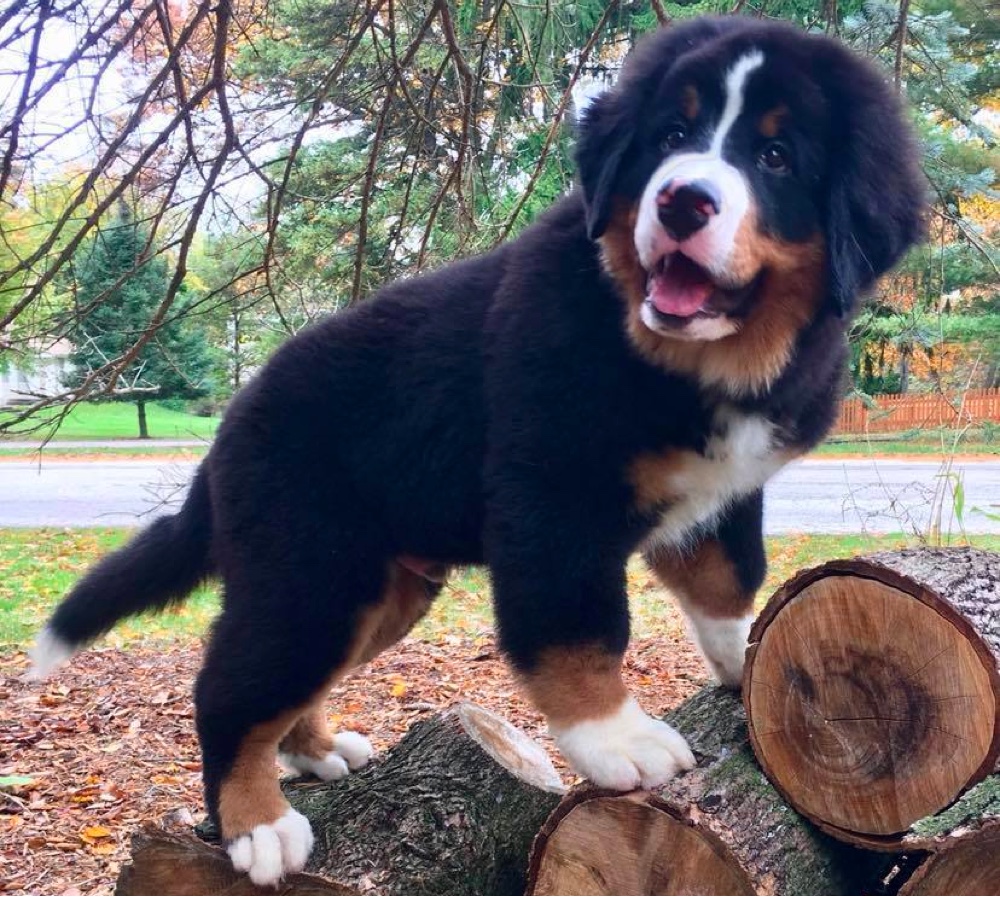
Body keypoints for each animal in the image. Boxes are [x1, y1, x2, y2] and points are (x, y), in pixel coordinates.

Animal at [31, 12, 924, 880]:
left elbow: (726, 584)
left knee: (286, 681)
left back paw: (317, 749)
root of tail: (226, 433)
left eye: (775, 156)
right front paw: (616, 738)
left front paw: (750, 659)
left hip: (380, 590)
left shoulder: (718, 495)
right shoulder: (553, 502)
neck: (689, 360)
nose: (680, 201)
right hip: (311, 568)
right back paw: (257, 824)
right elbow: (578, 627)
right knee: (231, 686)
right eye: (673, 134)